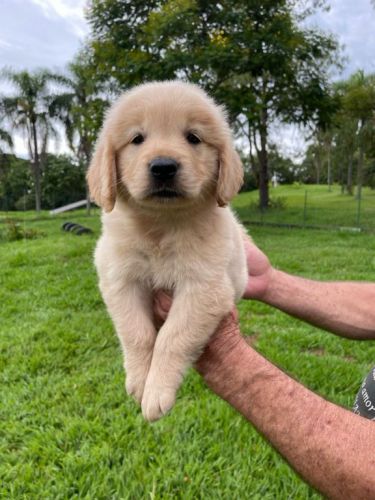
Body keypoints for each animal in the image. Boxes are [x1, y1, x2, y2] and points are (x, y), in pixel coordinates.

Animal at [86, 82, 248, 422]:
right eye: (137, 139)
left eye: (193, 137)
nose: (163, 167)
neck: (161, 225)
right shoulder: (119, 278)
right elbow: (137, 332)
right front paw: (138, 380)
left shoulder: (204, 287)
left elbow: (172, 337)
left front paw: (156, 391)